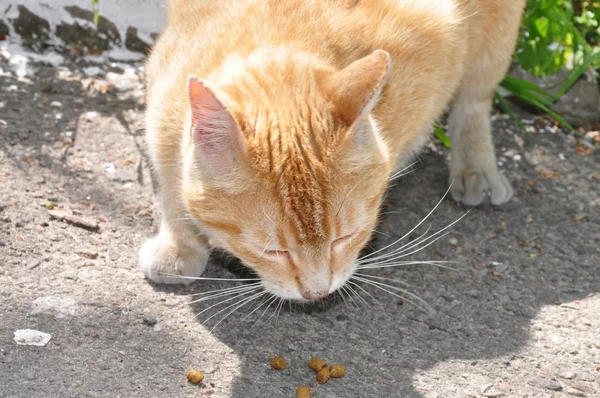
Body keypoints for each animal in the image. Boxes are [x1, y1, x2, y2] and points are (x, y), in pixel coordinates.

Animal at [141, 0, 524, 298]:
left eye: (345, 238)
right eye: (273, 251)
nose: (317, 292)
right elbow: (172, 183)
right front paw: (180, 243)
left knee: (475, 98)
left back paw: (476, 166)